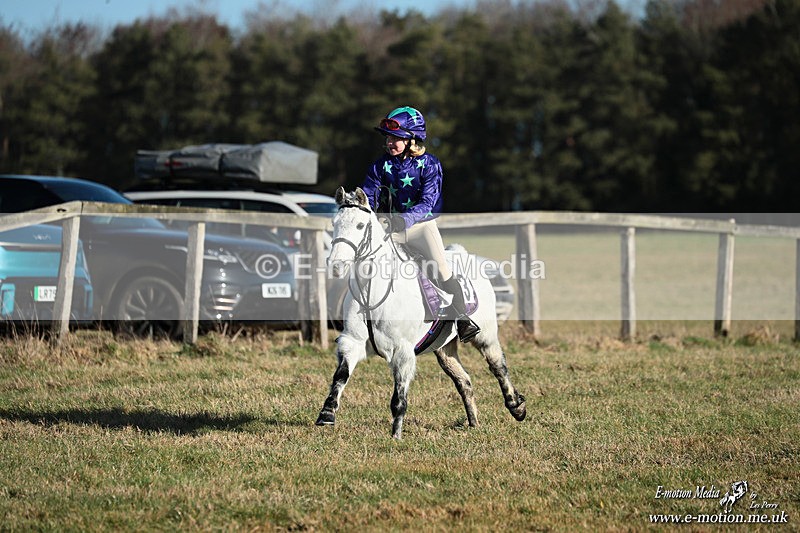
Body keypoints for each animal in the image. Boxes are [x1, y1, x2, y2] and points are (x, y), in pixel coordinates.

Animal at [315, 186, 527, 439]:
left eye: (359, 225)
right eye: (334, 223)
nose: (336, 265)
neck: (372, 292)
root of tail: (466, 255)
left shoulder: (402, 351)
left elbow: (399, 397)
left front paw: (396, 436)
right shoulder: (352, 342)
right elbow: (341, 375)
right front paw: (327, 413)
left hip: (485, 335)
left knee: (497, 366)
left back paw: (517, 408)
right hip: (444, 348)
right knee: (463, 380)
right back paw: (473, 422)